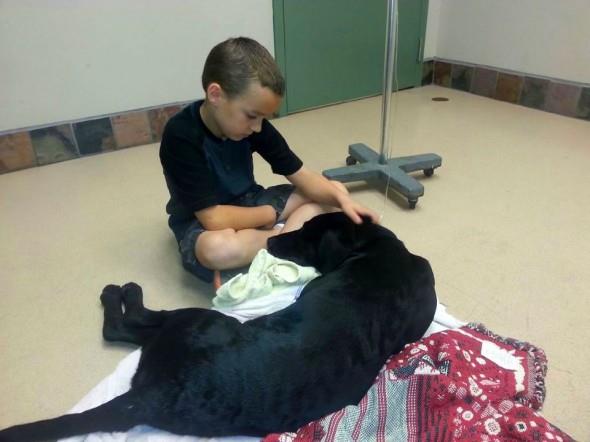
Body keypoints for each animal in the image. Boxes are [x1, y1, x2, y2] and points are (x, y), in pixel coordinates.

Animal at [0, 212, 434, 440]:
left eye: (305, 236)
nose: (271, 242)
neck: (375, 249)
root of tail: (150, 396)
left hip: (196, 319)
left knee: (129, 324)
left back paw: (121, 292)